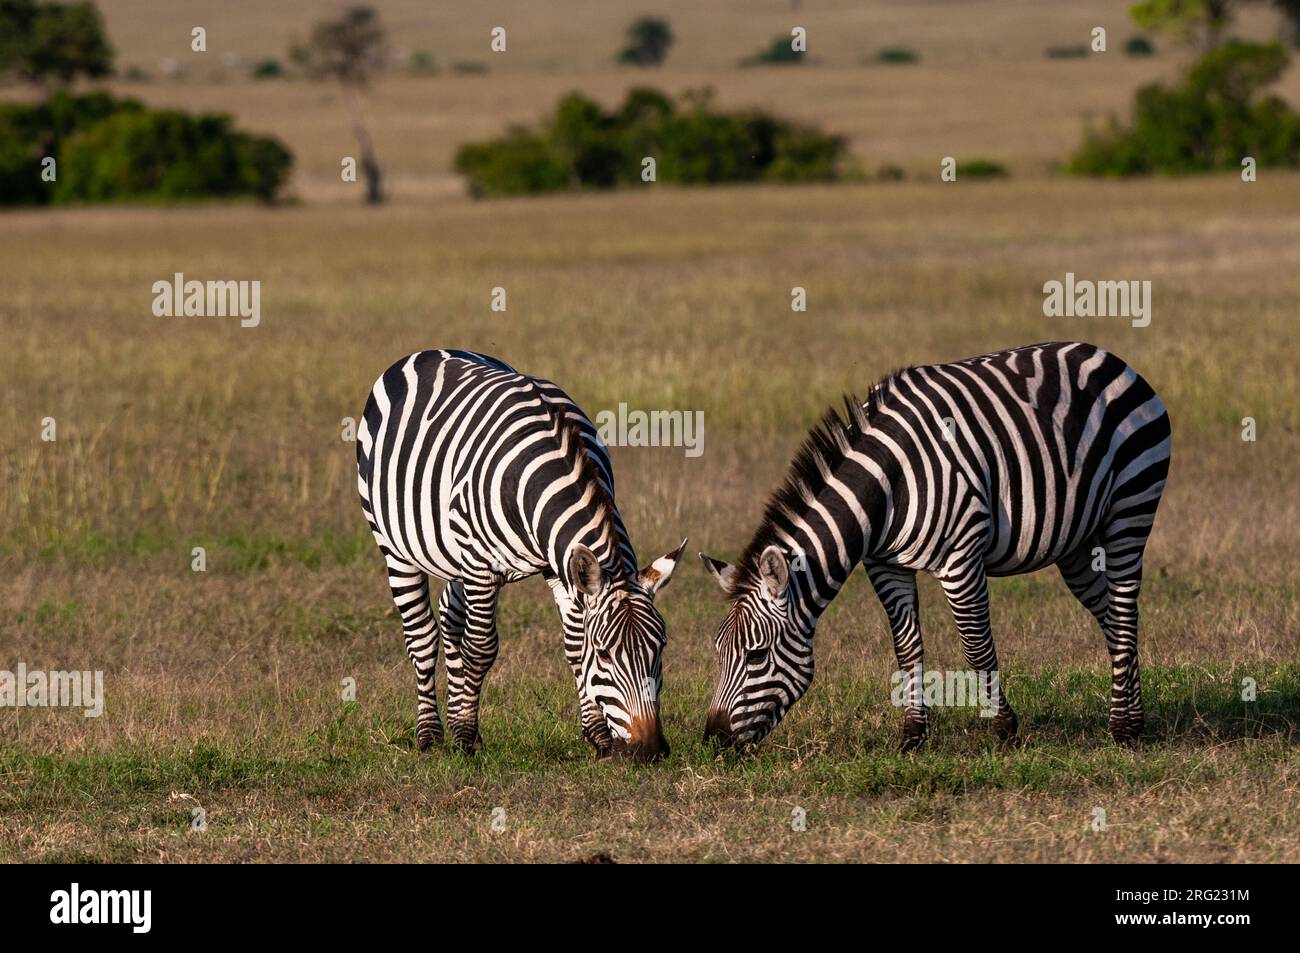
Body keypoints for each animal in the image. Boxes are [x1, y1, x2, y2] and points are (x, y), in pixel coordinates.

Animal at [351, 348, 686, 759]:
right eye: (606, 654)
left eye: (661, 647)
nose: (650, 749)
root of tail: (429, 352)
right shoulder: (481, 567)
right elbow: (481, 648)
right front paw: (464, 737)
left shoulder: (560, 566)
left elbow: (573, 647)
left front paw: (598, 737)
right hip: (396, 546)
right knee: (422, 637)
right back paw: (430, 733)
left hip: (454, 554)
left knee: (449, 616)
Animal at [707, 343, 1175, 748]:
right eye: (718, 654)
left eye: (756, 656)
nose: (713, 738)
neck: (887, 486)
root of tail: (1107, 356)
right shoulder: (885, 564)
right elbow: (906, 646)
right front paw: (913, 734)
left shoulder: (961, 558)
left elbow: (975, 644)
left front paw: (1004, 728)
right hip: (1077, 545)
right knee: (1111, 615)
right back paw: (1132, 716)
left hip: (1130, 507)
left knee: (1125, 608)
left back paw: (1124, 729)